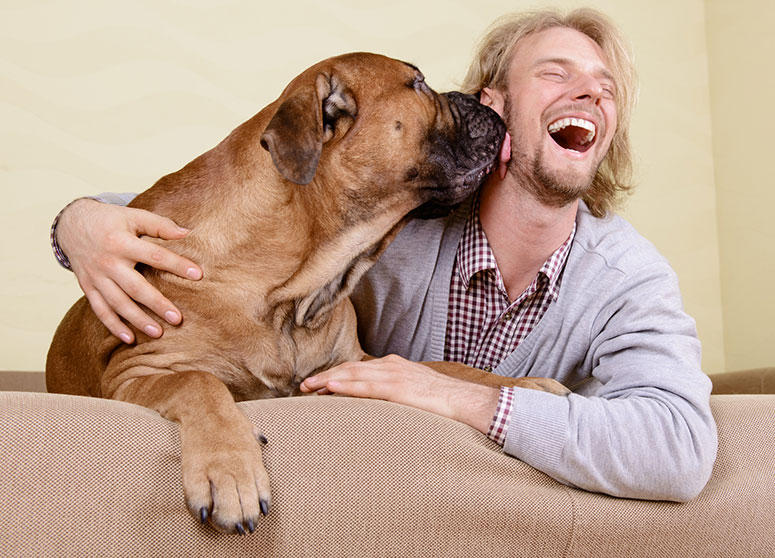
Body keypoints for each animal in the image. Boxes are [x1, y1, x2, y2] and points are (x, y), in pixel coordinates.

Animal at [48, 53, 568, 540]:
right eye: (417, 83)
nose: (478, 99)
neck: (291, 288)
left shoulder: (356, 362)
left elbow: (442, 369)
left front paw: (527, 386)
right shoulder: (134, 373)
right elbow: (199, 382)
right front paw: (229, 471)